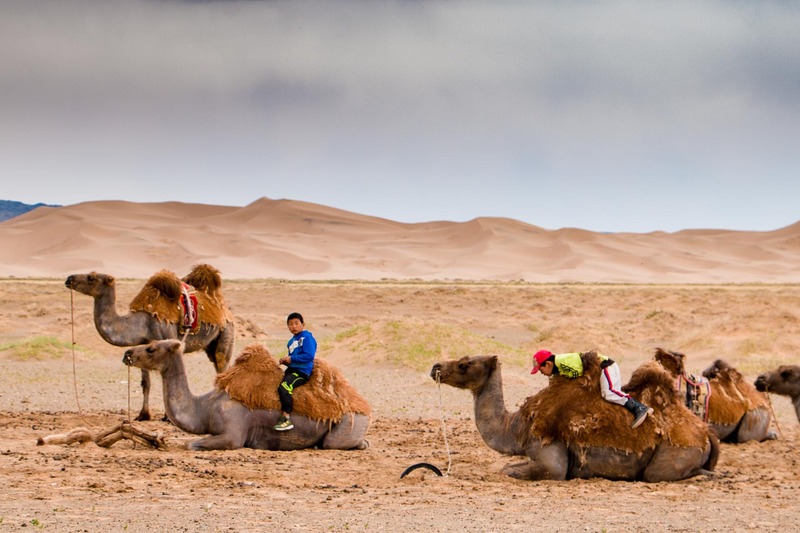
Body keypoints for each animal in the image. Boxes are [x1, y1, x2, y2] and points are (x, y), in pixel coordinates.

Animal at [66, 262, 236, 420]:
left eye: (91, 277)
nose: (69, 279)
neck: (142, 323)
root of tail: (225, 310)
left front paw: (167, 418)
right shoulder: (142, 348)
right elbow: (145, 383)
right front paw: (143, 415)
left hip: (226, 334)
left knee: (222, 365)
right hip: (210, 346)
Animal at [123, 338, 374, 450]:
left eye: (151, 348)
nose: (127, 354)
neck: (205, 407)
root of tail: (364, 407)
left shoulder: (233, 432)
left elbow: (192, 445)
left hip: (348, 423)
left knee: (337, 443)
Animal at [432, 354, 720, 482]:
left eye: (464, 364)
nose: (436, 367)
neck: (516, 427)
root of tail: (706, 433)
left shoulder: (548, 450)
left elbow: (511, 470)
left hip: (674, 451)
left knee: (658, 473)